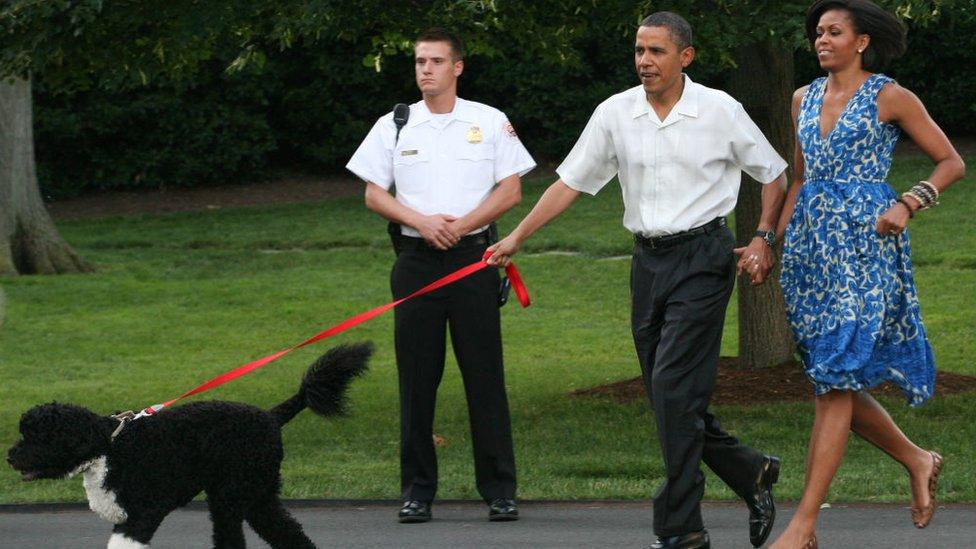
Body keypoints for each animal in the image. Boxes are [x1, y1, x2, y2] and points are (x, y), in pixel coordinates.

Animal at [6, 342, 374, 548]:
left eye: (38, 436)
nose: (10, 456)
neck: (110, 448)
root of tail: (271, 416)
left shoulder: (143, 514)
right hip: (254, 495)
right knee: (284, 532)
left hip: (235, 492)